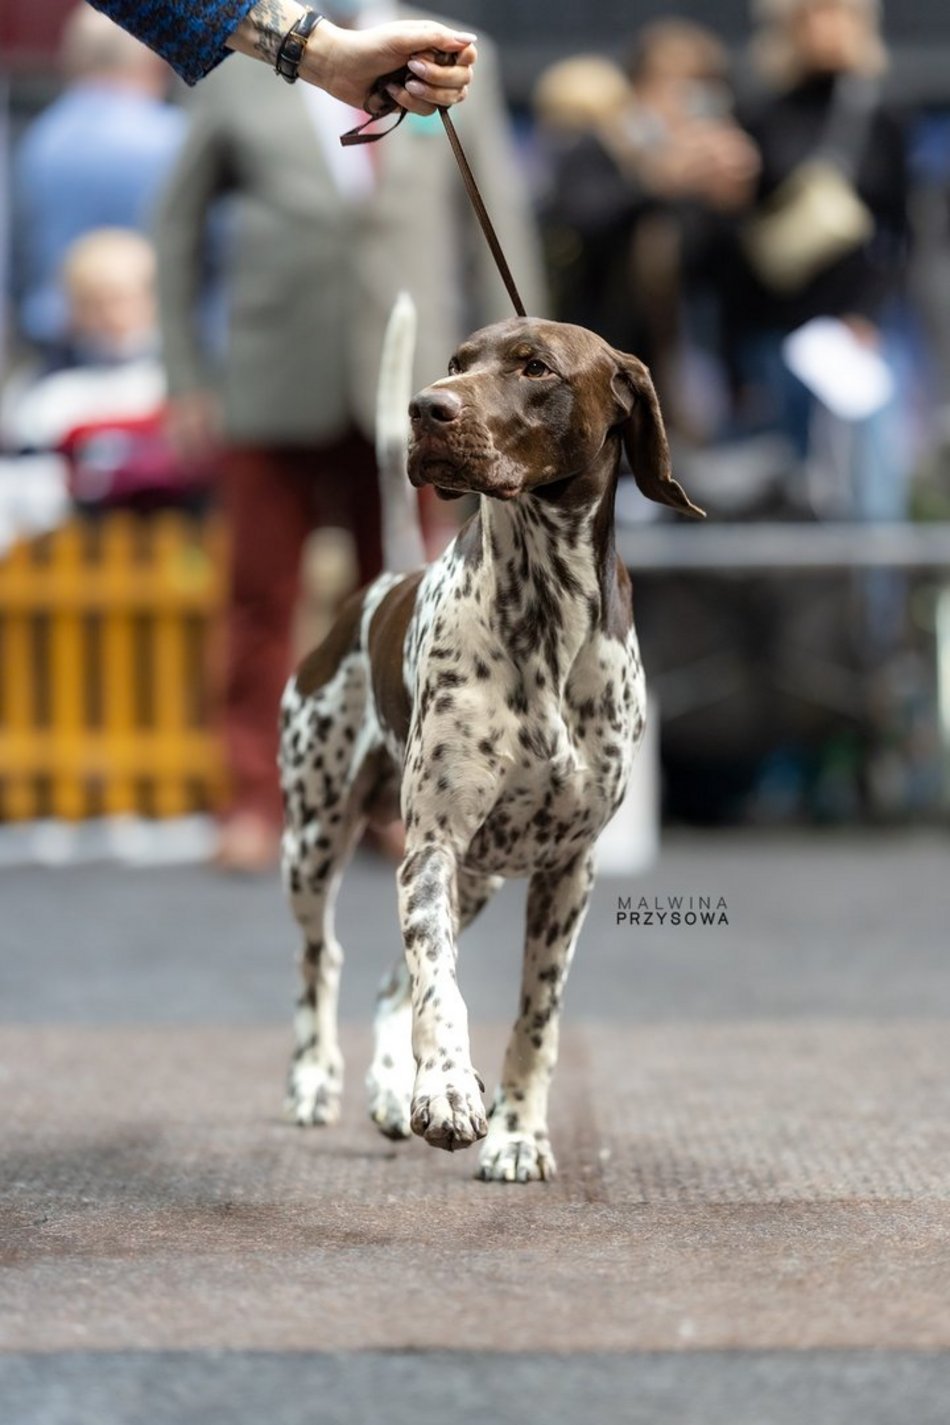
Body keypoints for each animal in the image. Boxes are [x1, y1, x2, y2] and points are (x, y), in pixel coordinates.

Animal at [279, 317, 703, 1185]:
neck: (543, 612)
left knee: (385, 981)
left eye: (535, 367)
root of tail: (376, 584)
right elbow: (440, 990)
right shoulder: (431, 850)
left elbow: (536, 1017)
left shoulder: (567, 870)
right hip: (313, 844)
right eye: (455, 363)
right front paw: (445, 1090)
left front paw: (518, 1132)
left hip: (479, 880)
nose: (426, 408)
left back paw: (386, 1087)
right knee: (323, 958)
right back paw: (317, 1079)